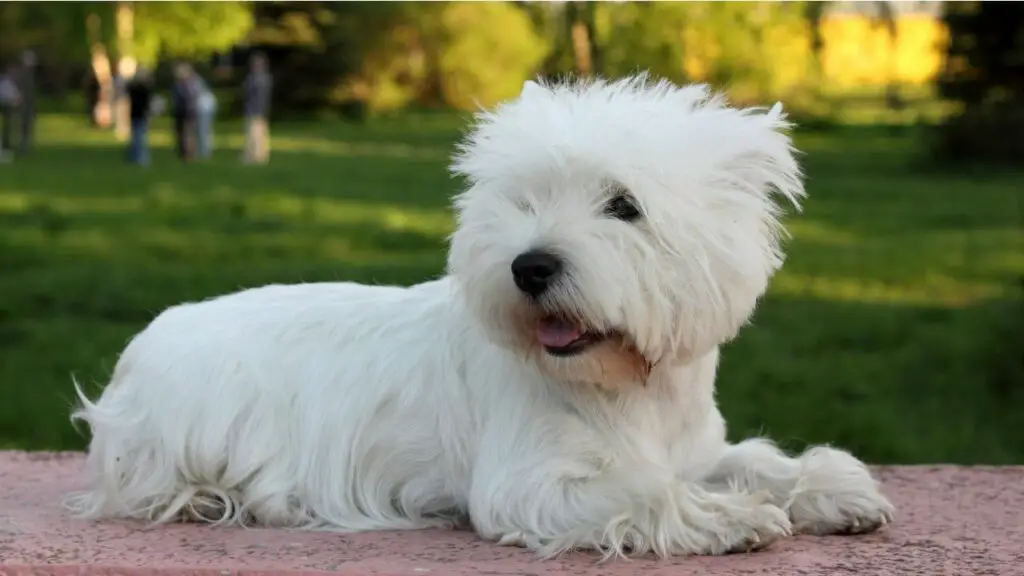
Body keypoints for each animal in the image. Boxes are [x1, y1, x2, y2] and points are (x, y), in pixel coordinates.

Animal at [72, 75, 892, 557]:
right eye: (522, 200)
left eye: (623, 205)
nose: (531, 267)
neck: (628, 386)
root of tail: (142, 343)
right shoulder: (527, 482)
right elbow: (642, 490)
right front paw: (732, 518)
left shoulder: (690, 446)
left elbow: (753, 460)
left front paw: (834, 491)